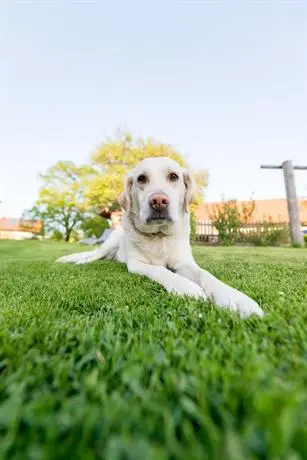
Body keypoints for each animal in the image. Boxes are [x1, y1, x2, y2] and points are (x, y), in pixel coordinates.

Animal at [57, 156, 264, 318]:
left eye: (173, 176)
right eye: (141, 179)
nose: (158, 201)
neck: (159, 236)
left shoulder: (185, 263)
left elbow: (207, 275)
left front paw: (235, 298)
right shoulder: (137, 264)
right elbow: (161, 270)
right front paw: (187, 287)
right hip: (110, 243)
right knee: (93, 255)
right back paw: (81, 262)